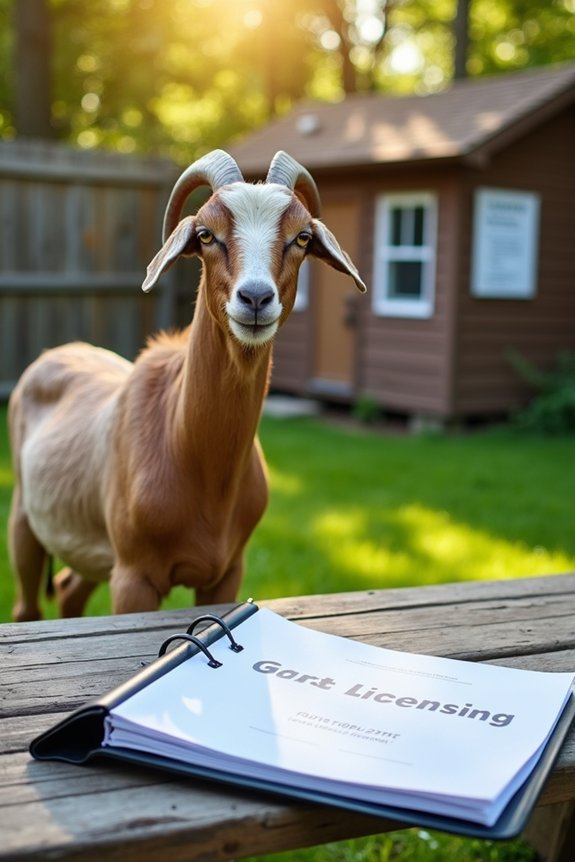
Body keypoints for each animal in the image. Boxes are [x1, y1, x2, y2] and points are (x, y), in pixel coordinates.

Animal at [8, 150, 366, 621]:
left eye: (303, 236)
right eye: (206, 234)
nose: (255, 298)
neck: (187, 446)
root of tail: (55, 353)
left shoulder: (226, 573)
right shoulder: (133, 578)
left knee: (69, 589)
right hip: (24, 521)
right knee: (26, 607)